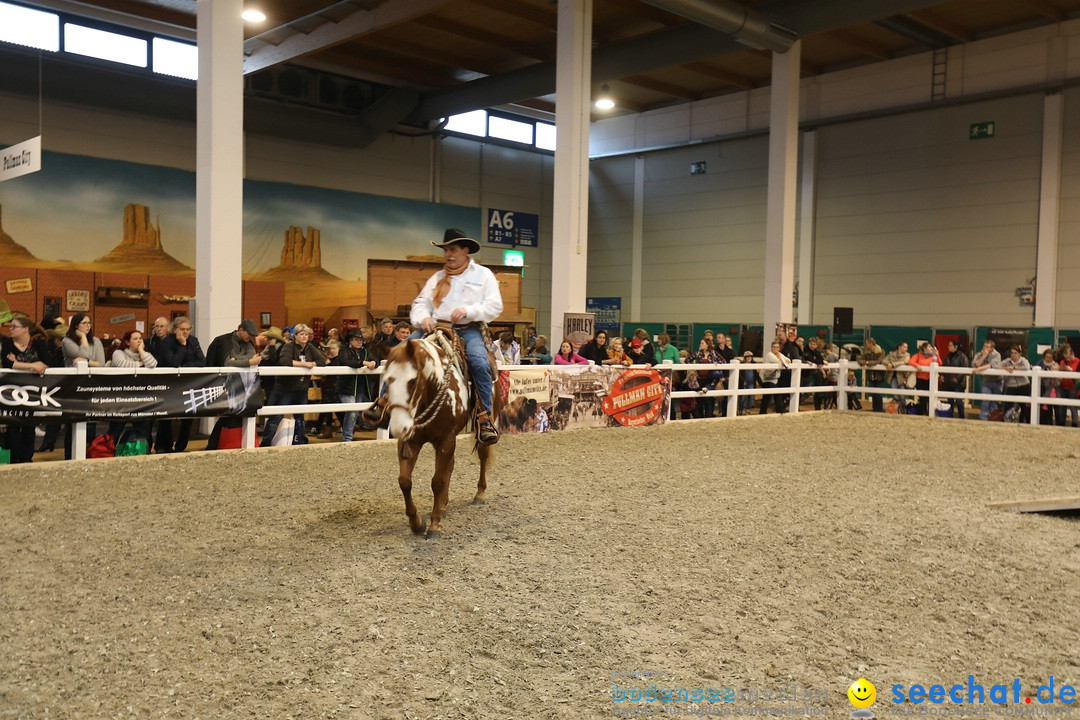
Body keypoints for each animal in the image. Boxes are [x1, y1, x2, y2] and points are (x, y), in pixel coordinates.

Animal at [380, 328, 496, 535]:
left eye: (412, 381)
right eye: (387, 380)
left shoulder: (446, 439)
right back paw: (443, 505)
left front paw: (434, 524)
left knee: (483, 454)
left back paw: (479, 493)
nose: (398, 427)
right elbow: (405, 481)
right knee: (450, 465)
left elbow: (438, 481)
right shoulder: (410, 441)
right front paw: (416, 523)